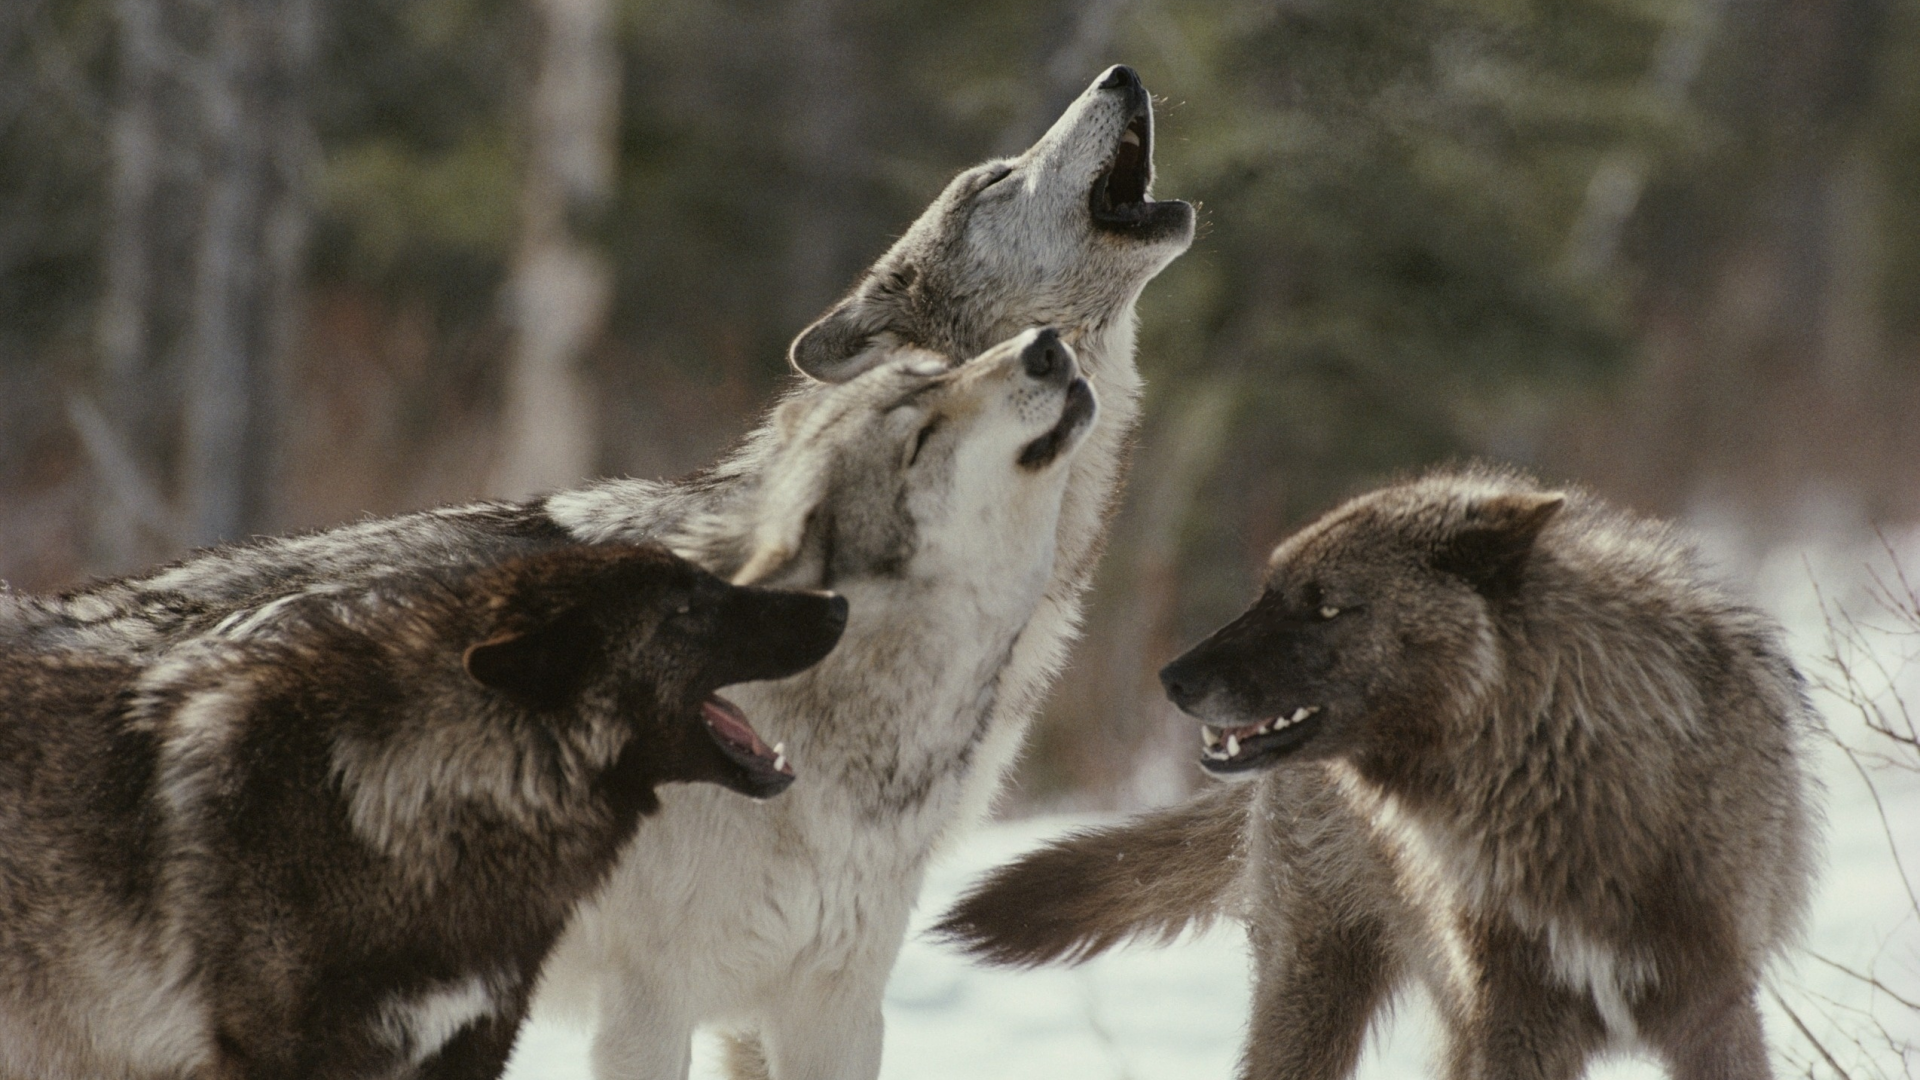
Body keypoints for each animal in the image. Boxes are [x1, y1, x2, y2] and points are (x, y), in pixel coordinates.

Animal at [936, 466, 1820, 1076]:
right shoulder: (1517, 1020)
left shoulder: (1714, 1010)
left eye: (1326, 605)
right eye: (1269, 591)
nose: (1172, 678)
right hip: (1315, 993)